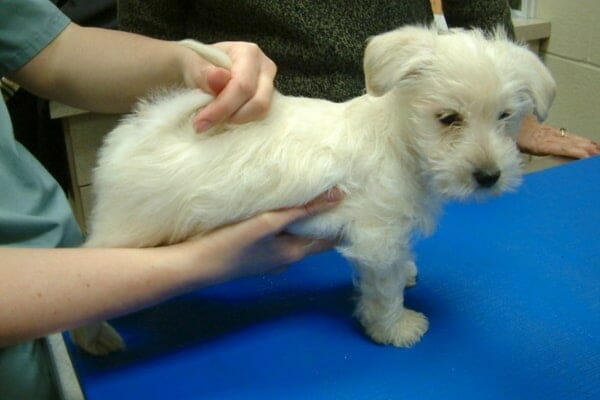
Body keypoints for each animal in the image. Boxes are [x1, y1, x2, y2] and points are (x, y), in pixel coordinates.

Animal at [71, 26, 556, 354]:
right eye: (449, 118)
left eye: (505, 116)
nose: (489, 176)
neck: (399, 141)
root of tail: (150, 130)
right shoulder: (377, 237)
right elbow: (385, 291)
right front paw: (395, 329)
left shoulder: (382, 235)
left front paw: (408, 273)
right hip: (126, 233)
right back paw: (95, 338)